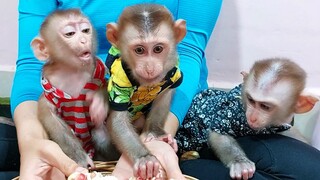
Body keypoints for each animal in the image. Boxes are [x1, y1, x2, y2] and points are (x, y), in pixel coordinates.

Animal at [31, 9, 110, 168]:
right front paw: (81, 159)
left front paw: (98, 104)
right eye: (70, 33)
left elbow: (105, 85)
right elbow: (51, 117)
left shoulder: (96, 72)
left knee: (99, 133)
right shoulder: (50, 90)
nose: (84, 40)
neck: (71, 69)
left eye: (85, 30)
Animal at [178, 58, 318, 179]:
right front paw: (239, 162)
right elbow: (218, 133)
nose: (252, 117)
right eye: (251, 100)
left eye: (265, 106)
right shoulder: (231, 113)